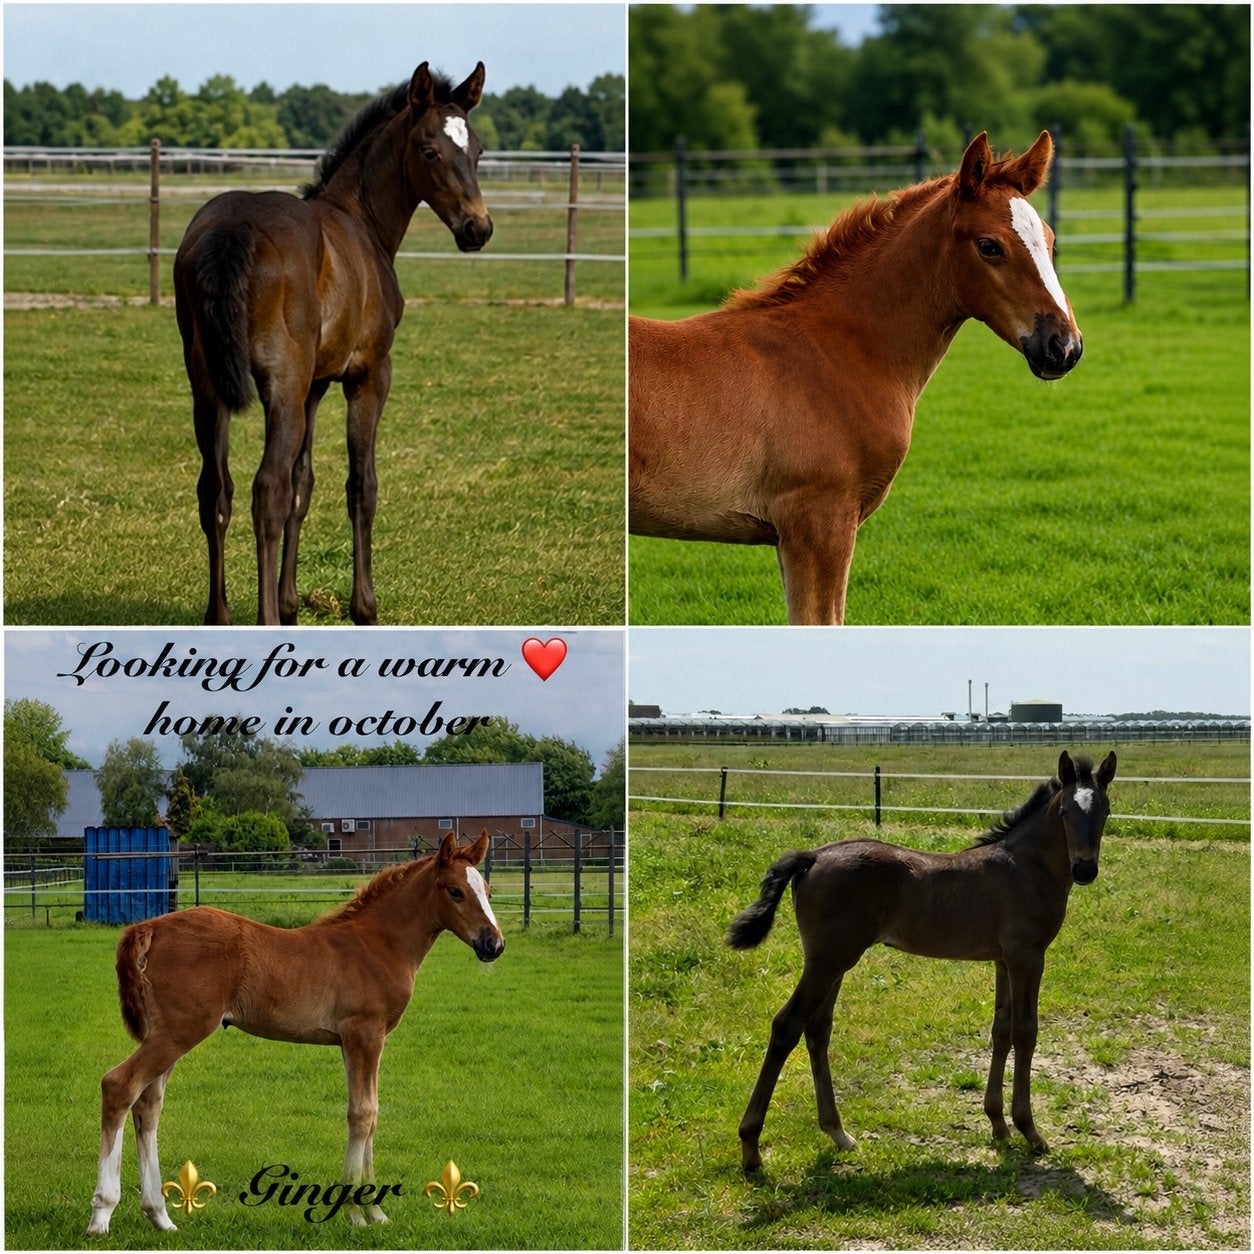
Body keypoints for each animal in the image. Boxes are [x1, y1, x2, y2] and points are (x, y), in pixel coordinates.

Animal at [86, 831, 504, 1235]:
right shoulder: (364, 1035)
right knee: (120, 1085)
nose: (493, 944)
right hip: (180, 1031)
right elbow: (362, 1113)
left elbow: (372, 1112)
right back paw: (102, 1214)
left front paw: (376, 1211)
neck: (378, 944)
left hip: (169, 1034)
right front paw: (356, 1212)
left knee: (148, 1103)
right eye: (455, 891)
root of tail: (149, 927)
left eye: (487, 889)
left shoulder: (358, 1042)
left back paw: (160, 1215)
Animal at [174, 62, 493, 626]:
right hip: (280, 384)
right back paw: (263, 620)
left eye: (475, 150)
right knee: (266, 490)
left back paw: (221, 616)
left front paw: (291, 602)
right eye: (430, 151)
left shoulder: (316, 385)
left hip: (207, 383)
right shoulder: (368, 375)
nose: (478, 228)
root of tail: (232, 231)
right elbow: (360, 485)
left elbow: (305, 482)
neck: (361, 223)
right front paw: (363, 606)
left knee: (216, 488)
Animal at [727, 750, 1115, 1172]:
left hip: (834, 961)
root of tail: (814, 856)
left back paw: (838, 1133)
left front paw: (998, 1125)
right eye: (1064, 813)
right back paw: (751, 1148)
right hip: (828, 960)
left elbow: (1001, 1030)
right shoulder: (1027, 957)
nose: (1085, 869)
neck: (1025, 868)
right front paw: (1030, 1130)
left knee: (817, 1029)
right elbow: (1026, 1033)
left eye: (1105, 811)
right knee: (787, 1025)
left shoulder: (1003, 960)